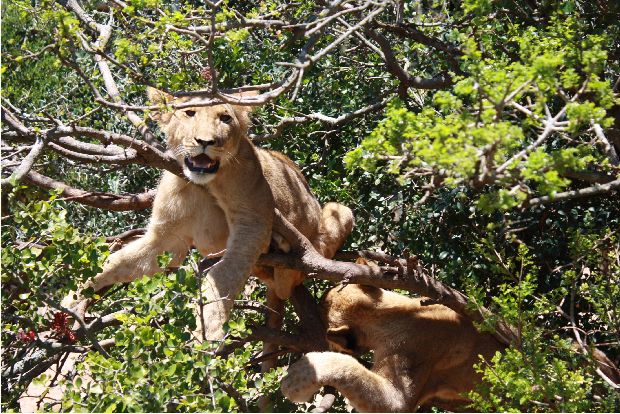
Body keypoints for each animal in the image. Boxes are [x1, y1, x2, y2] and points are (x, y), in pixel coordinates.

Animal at [64, 89, 354, 342]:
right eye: (190, 113)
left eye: (225, 118)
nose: (205, 142)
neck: (202, 185)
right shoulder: (168, 238)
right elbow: (116, 262)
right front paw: (73, 298)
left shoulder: (252, 225)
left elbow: (223, 276)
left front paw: (207, 332)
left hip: (340, 211)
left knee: (291, 278)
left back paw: (284, 254)